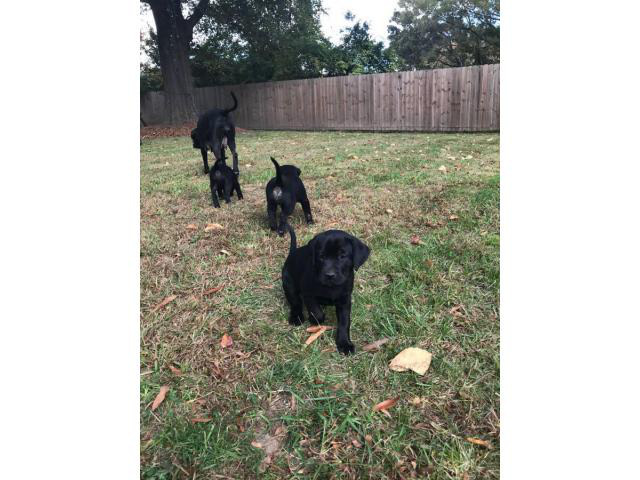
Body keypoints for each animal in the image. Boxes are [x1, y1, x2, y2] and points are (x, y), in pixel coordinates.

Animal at [282, 223, 370, 354]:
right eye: (321, 256)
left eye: (342, 256)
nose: (329, 275)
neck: (331, 287)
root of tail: (292, 254)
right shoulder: (308, 294)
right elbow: (317, 312)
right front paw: (314, 319)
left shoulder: (345, 300)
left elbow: (344, 322)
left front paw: (345, 344)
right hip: (288, 284)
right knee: (295, 302)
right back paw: (296, 317)